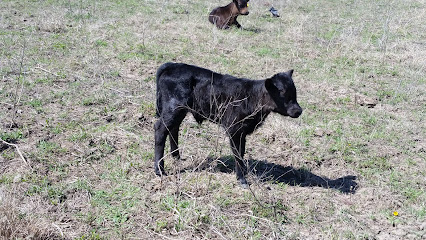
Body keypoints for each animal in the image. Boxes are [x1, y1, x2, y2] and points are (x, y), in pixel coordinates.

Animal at [155, 62, 302, 187]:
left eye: (294, 92)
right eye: (282, 93)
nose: (298, 111)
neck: (252, 97)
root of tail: (172, 65)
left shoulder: (243, 132)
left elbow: (242, 152)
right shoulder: (234, 129)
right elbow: (237, 154)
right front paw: (242, 180)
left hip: (179, 111)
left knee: (173, 128)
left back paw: (177, 157)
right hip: (173, 108)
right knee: (160, 130)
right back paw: (159, 170)